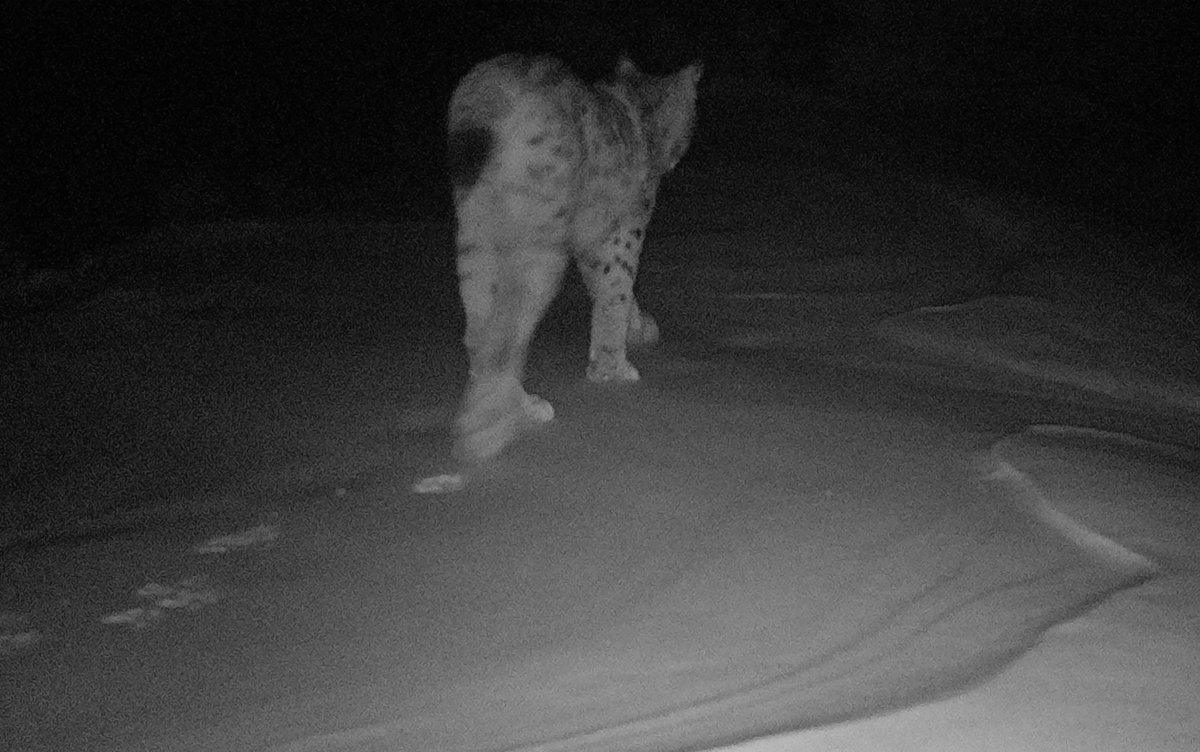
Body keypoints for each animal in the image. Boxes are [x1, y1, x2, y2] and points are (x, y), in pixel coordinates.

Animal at [446, 53, 702, 462]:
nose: (678, 153)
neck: (636, 111)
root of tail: (501, 76)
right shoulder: (623, 229)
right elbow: (617, 288)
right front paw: (612, 366)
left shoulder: (592, 237)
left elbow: (610, 290)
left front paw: (635, 329)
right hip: (538, 239)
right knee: (507, 327)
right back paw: (490, 429)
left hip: (477, 235)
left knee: (480, 329)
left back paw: (512, 406)